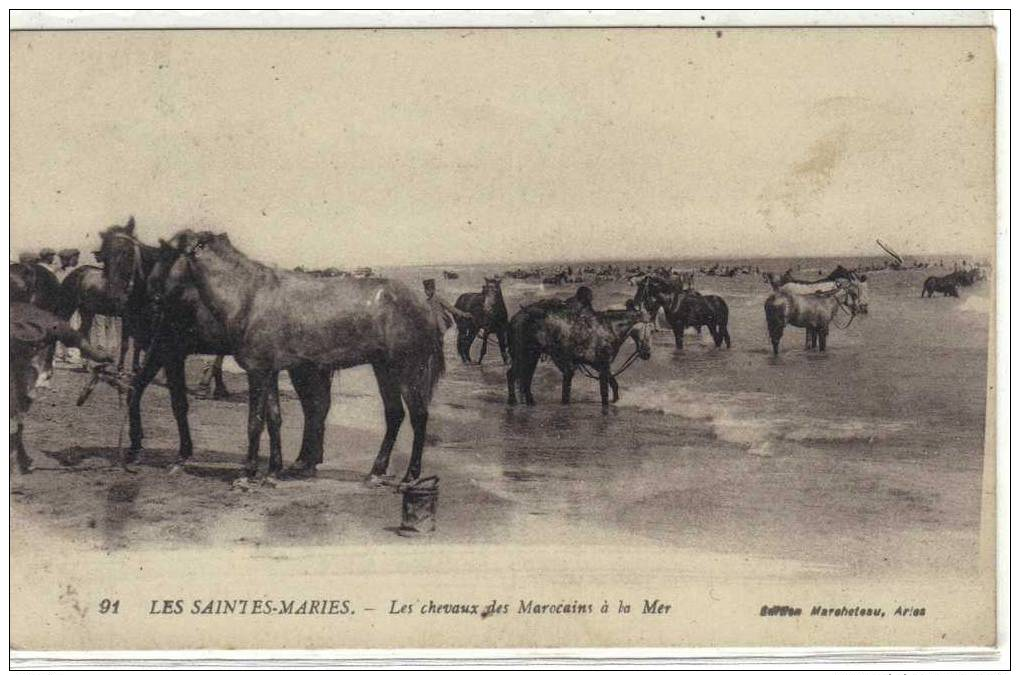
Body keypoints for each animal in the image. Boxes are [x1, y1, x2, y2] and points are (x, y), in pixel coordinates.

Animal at [150, 230, 442, 483]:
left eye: (166, 253)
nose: (152, 293)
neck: (249, 296)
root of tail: (424, 304)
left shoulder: (257, 372)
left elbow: (254, 422)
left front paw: (247, 474)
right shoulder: (269, 372)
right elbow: (273, 418)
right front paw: (271, 471)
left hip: (407, 368)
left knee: (418, 416)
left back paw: (410, 476)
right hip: (383, 368)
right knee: (394, 414)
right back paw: (375, 472)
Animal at [503, 305, 652, 409]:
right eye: (649, 330)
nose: (647, 354)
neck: (609, 328)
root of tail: (515, 318)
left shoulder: (599, 365)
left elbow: (614, 384)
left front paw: (616, 401)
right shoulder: (603, 365)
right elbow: (604, 391)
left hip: (532, 356)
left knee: (525, 378)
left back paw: (529, 401)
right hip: (525, 355)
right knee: (513, 375)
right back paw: (512, 401)